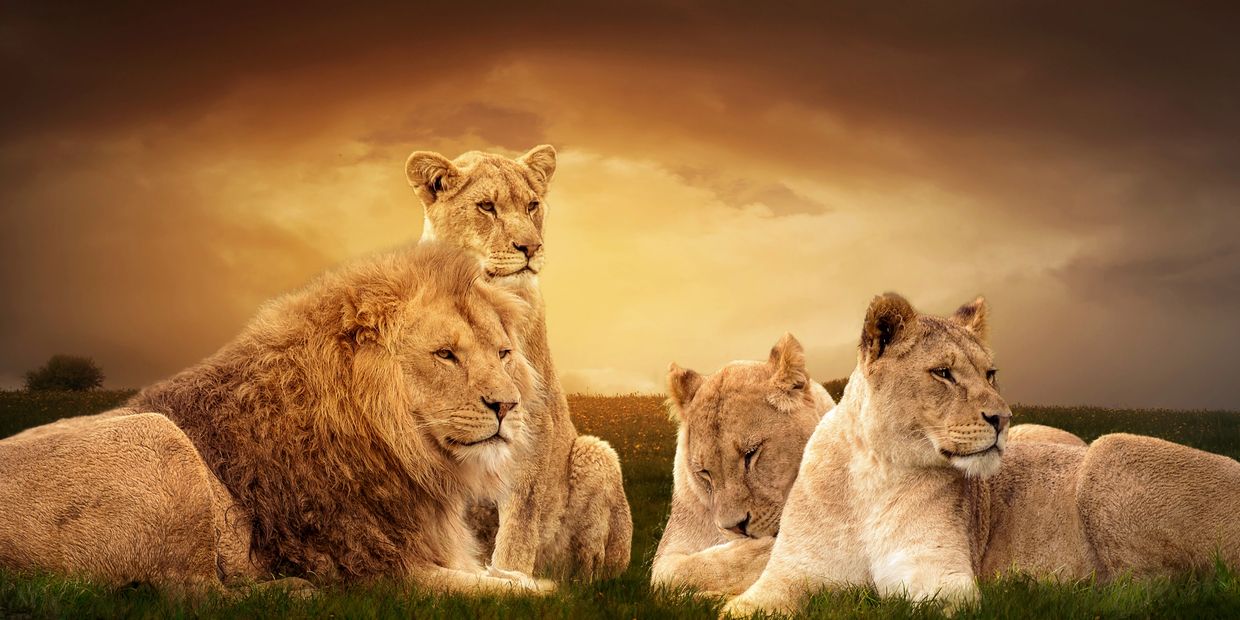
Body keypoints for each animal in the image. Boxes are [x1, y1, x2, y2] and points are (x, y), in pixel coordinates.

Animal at [1, 242, 554, 594]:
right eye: (445, 355)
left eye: (504, 353)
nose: (507, 406)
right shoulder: (377, 571)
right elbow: (518, 595)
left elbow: (511, 579)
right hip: (158, 439)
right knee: (194, 594)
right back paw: (292, 591)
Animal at [404, 145, 632, 580]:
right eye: (486, 206)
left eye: (532, 206)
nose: (531, 247)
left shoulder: (532, 424)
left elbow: (519, 524)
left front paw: (511, 577)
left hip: (596, 454)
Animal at [724, 293, 1240, 617]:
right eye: (943, 373)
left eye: (990, 373)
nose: (1003, 418)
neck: (873, 471)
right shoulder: (791, 572)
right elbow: (742, 607)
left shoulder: (940, 576)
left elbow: (897, 600)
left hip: (1111, 451)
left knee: (1157, 590)